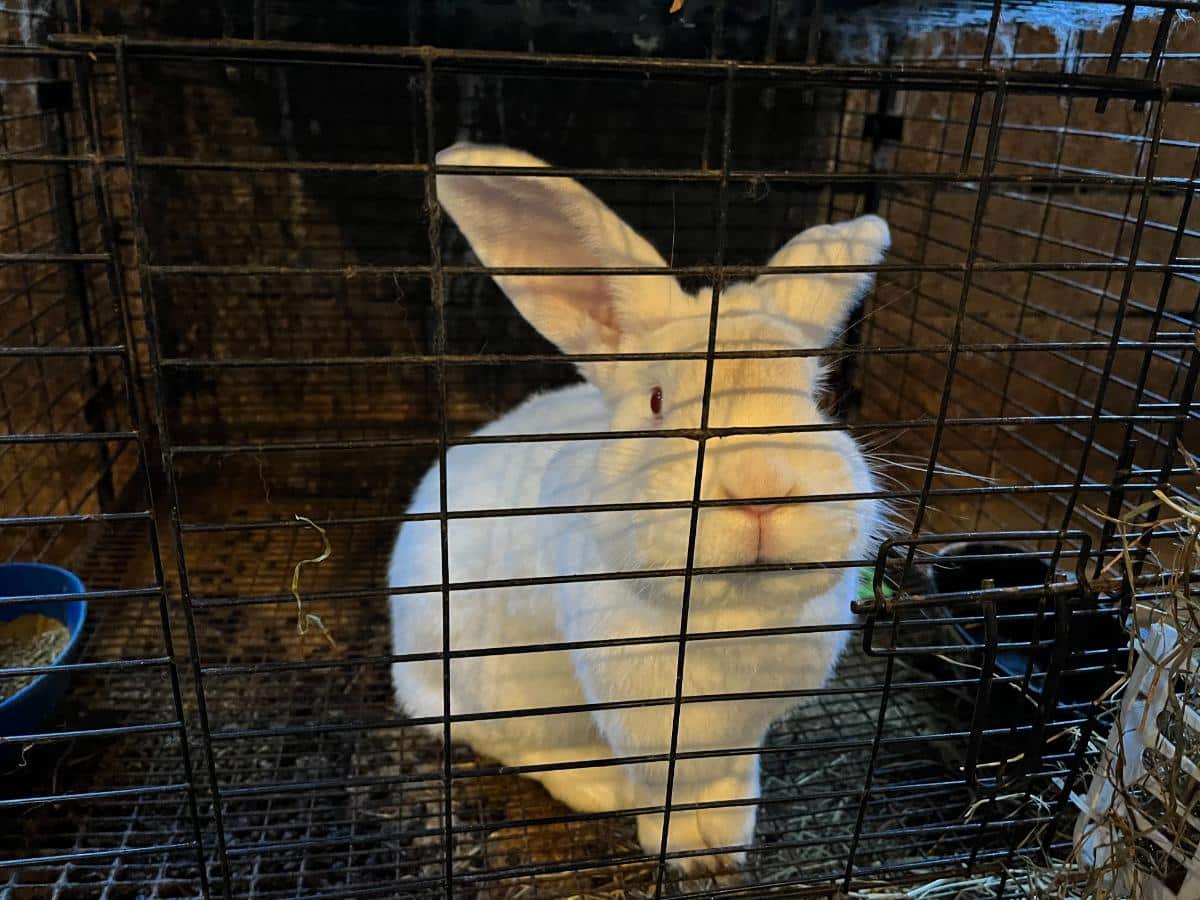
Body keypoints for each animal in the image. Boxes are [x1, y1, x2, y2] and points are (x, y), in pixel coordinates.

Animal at [389, 142, 890, 875]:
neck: (731, 613)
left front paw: (728, 843)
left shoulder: (744, 730)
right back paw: (597, 786)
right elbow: (665, 792)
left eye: (815, 399)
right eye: (657, 401)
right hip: (501, 694)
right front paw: (687, 854)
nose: (763, 483)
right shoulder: (648, 726)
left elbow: (732, 779)